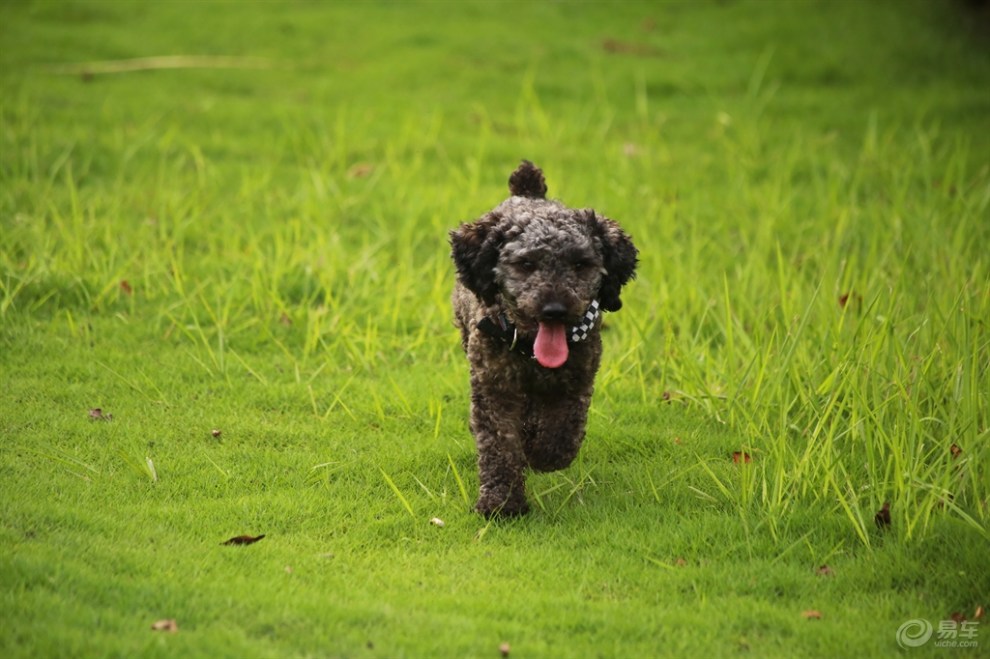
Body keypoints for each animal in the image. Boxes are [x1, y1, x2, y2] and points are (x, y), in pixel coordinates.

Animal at [448, 161, 640, 516]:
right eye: (526, 264)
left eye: (580, 264)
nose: (554, 309)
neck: (530, 350)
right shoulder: (494, 387)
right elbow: (500, 446)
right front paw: (502, 503)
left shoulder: (577, 380)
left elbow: (562, 431)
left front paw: (542, 453)